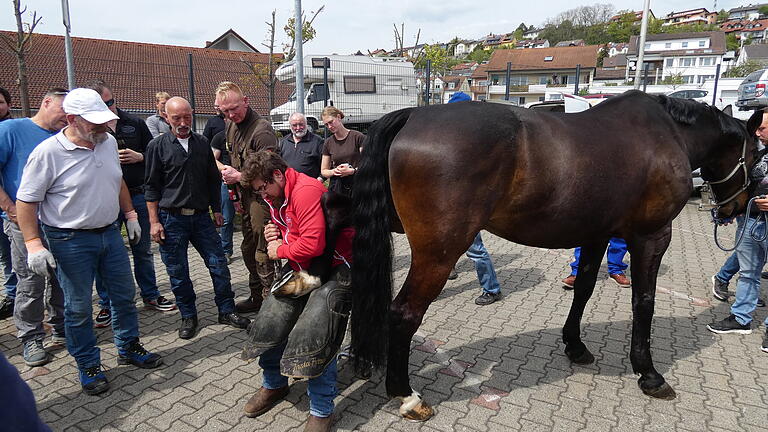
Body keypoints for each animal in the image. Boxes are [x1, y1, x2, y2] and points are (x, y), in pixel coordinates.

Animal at [348, 89, 760, 420]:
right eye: (757, 154)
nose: (737, 207)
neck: (665, 134)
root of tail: (413, 115)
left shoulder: (596, 235)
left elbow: (584, 288)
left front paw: (574, 344)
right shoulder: (652, 236)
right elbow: (644, 301)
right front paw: (648, 372)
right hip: (438, 254)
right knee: (404, 313)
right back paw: (406, 395)